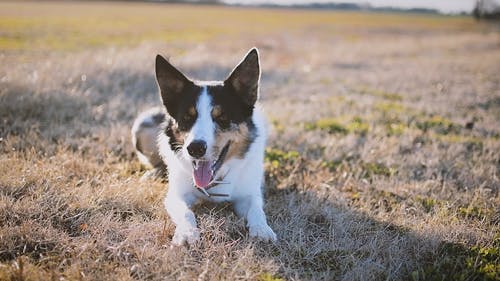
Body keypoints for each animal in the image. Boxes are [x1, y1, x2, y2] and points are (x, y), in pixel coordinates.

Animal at [132, 48, 278, 245]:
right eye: (187, 118)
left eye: (222, 118)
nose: (195, 148)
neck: (215, 181)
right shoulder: (176, 196)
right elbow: (186, 213)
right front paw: (187, 232)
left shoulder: (249, 194)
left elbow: (256, 209)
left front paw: (262, 229)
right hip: (143, 124)